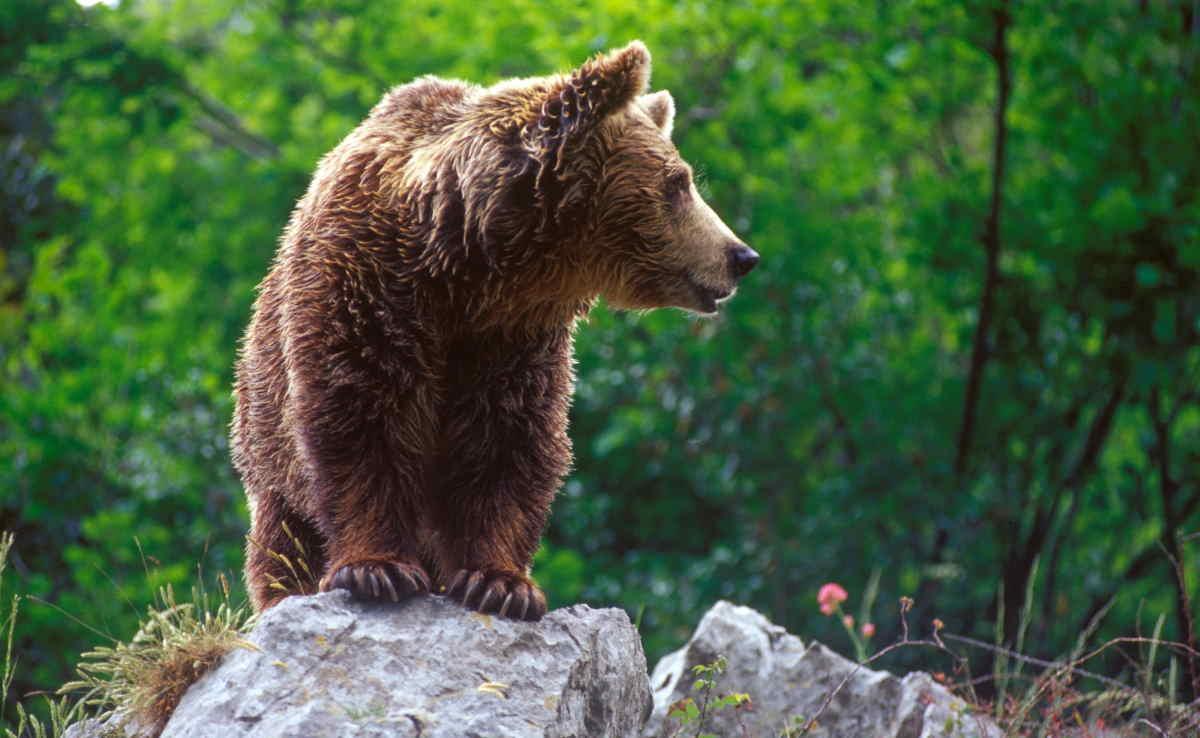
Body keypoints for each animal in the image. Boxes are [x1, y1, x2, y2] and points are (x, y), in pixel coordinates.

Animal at [231, 41, 758, 621]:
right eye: (678, 182)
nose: (740, 256)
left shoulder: (513, 340)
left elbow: (507, 445)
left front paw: (500, 584)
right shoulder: (364, 293)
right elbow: (361, 419)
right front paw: (377, 569)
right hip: (263, 439)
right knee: (284, 538)